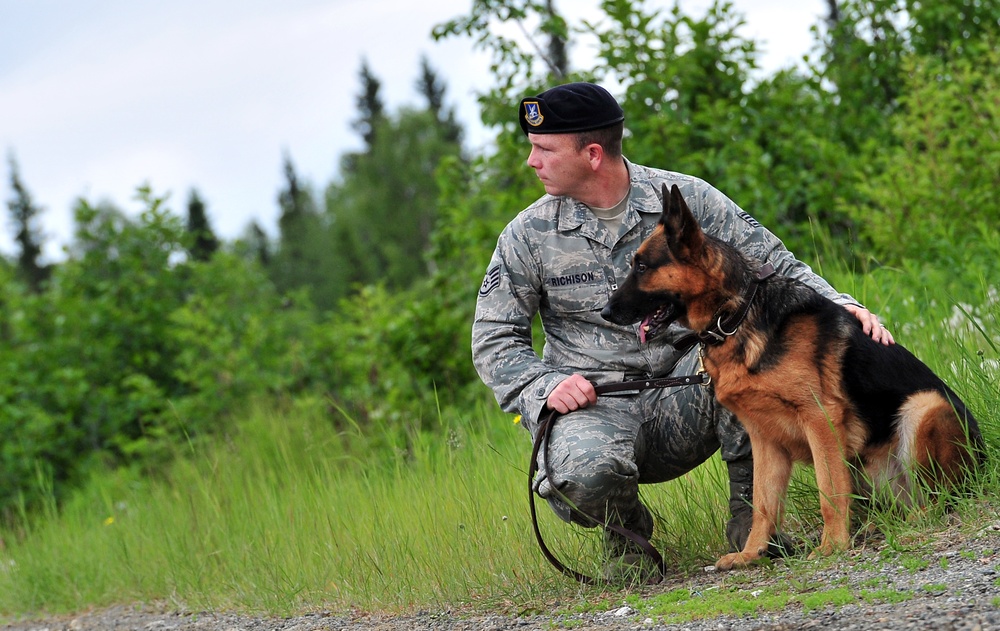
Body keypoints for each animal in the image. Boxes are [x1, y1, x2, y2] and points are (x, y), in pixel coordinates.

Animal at [600, 184, 984, 572]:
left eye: (642, 266)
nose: (604, 312)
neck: (736, 315)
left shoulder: (820, 420)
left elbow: (828, 490)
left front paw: (832, 546)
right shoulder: (763, 438)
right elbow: (763, 503)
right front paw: (751, 553)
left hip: (923, 407)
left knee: (942, 497)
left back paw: (916, 520)